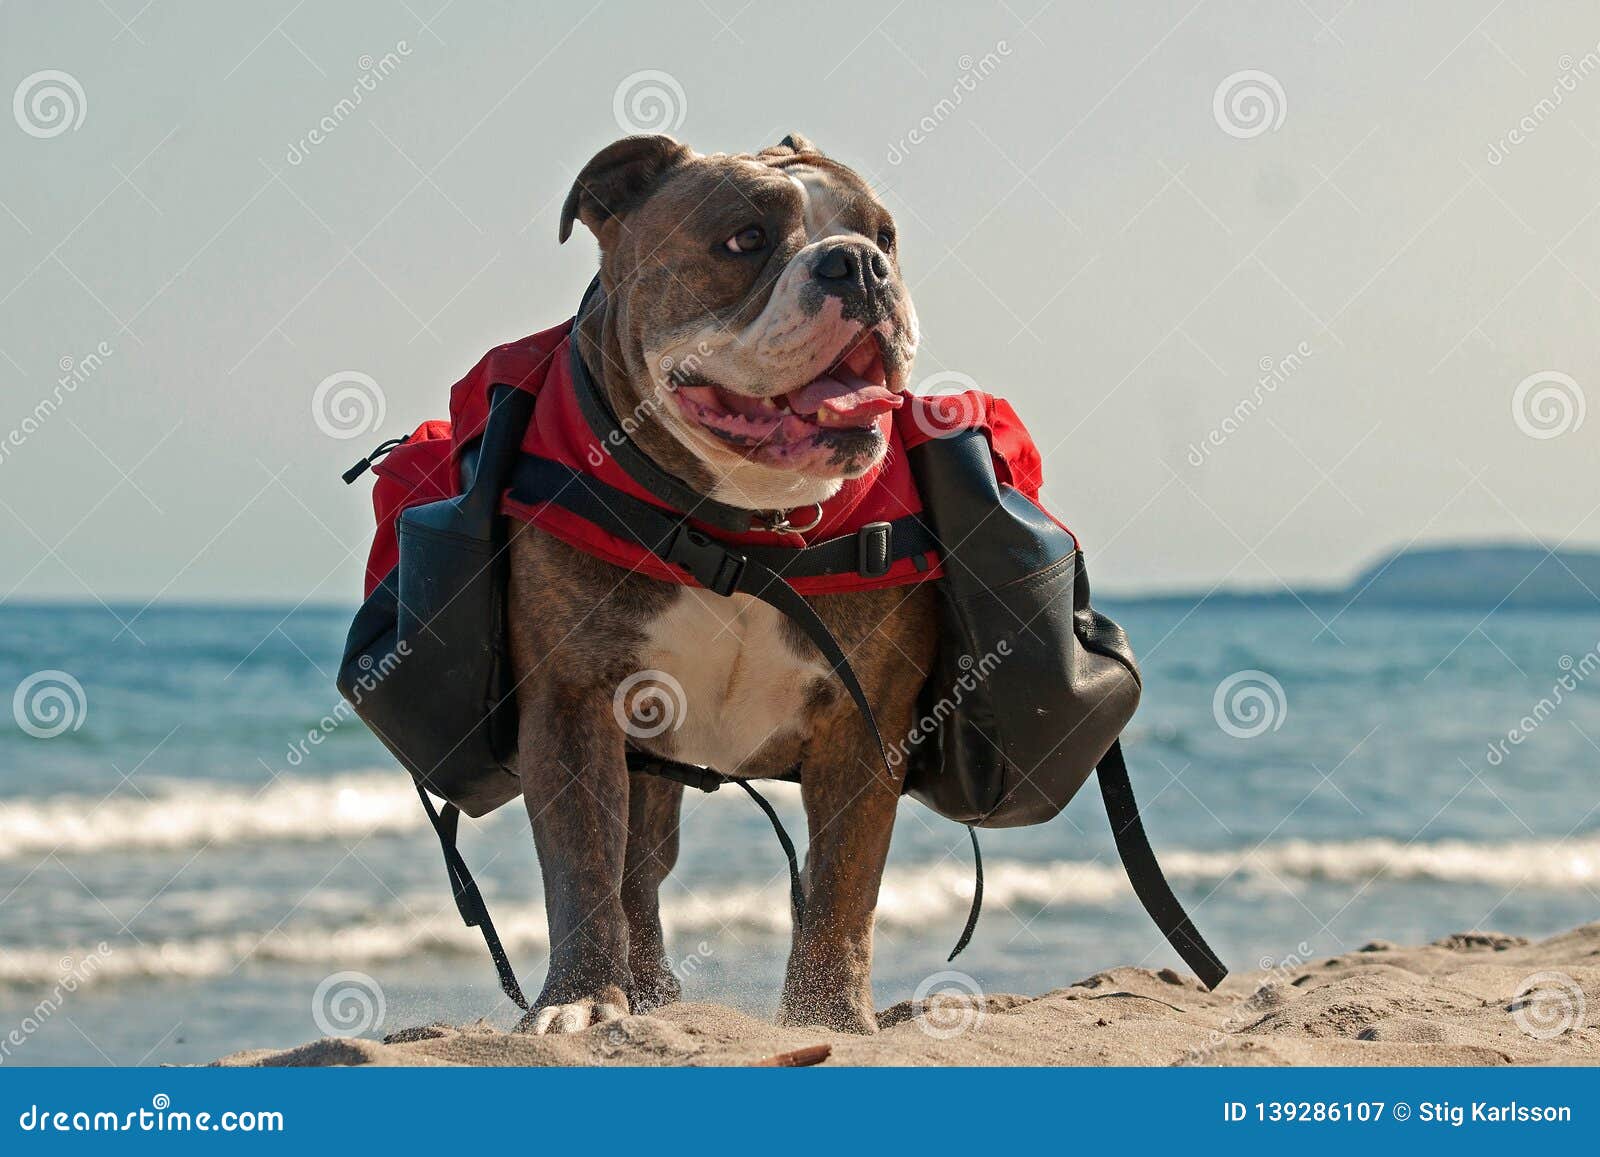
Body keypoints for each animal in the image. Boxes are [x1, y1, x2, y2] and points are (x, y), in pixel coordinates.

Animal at [508, 133, 934, 1030]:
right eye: (744, 239)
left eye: (884, 236)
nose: (858, 264)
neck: (742, 529)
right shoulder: (572, 703)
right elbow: (582, 866)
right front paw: (580, 1000)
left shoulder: (863, 723)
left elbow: (843, 890)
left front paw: (830, 1018)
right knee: (632, 873)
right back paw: (644, 993)